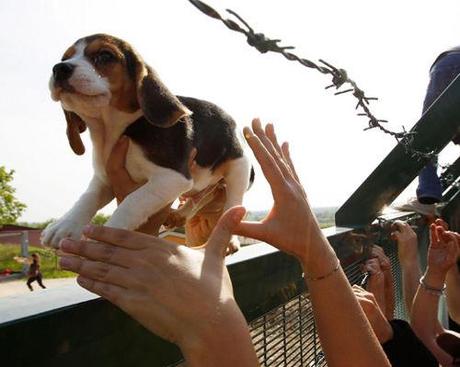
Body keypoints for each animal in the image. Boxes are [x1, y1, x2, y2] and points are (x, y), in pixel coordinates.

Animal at [41, 34, 253, 252]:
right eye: (65, 58)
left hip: (239, 169)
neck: (114, 128)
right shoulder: (104, 178)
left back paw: (230, 238)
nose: (59, 68)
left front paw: (105, 236)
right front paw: (65, 226)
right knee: (202, 195)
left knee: (233, 205)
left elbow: (132, 202)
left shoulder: (172, 177)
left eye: (105, 55)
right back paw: (180, 214)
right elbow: (87, 198)